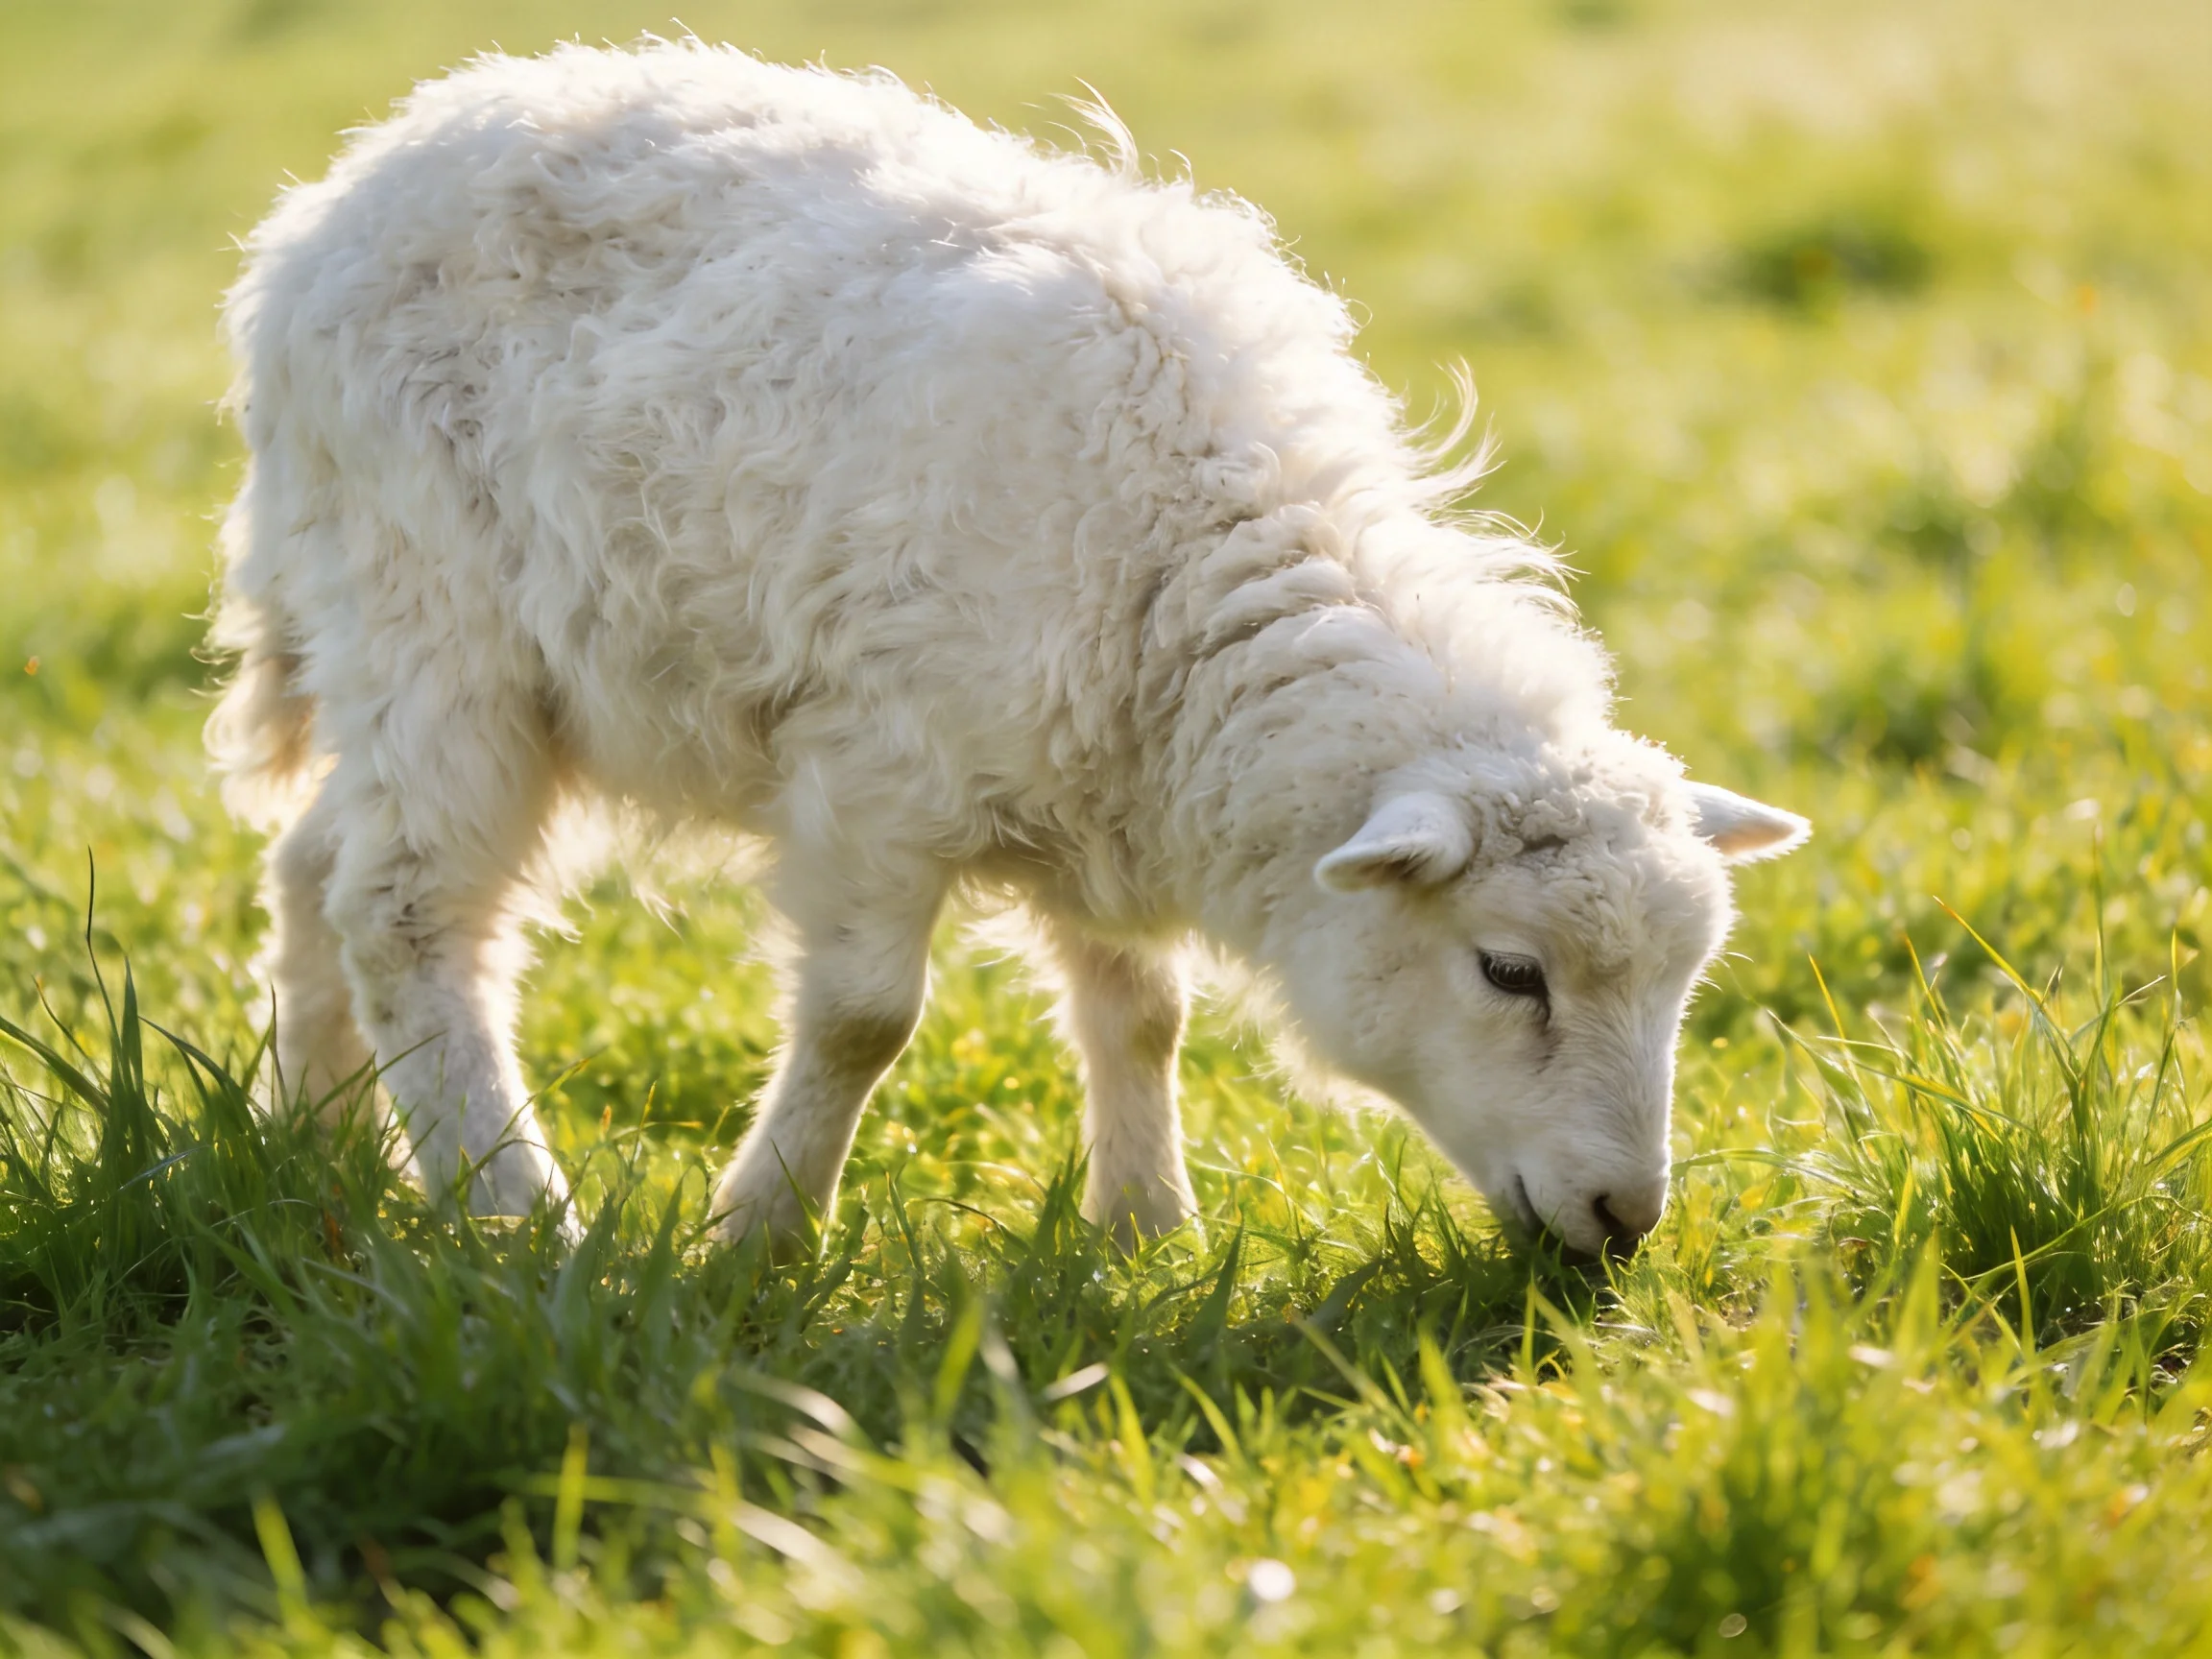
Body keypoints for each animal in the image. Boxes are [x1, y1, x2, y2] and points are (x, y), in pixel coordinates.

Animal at [206, 41, 1807, 1260]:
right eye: (1509, 973)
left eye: (1684, 985)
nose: (1625, 1221)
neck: (1191, 560)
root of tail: (354, 179)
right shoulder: (876, 773)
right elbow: (863, 1021)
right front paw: (762, 1236)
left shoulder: (1115, 777)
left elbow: (1145, 1014)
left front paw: (1147, 1227)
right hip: (435, 617)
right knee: (406, 912)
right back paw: (516, 1217)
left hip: (396, 649)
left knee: (312, 864)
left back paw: (316, 1145)